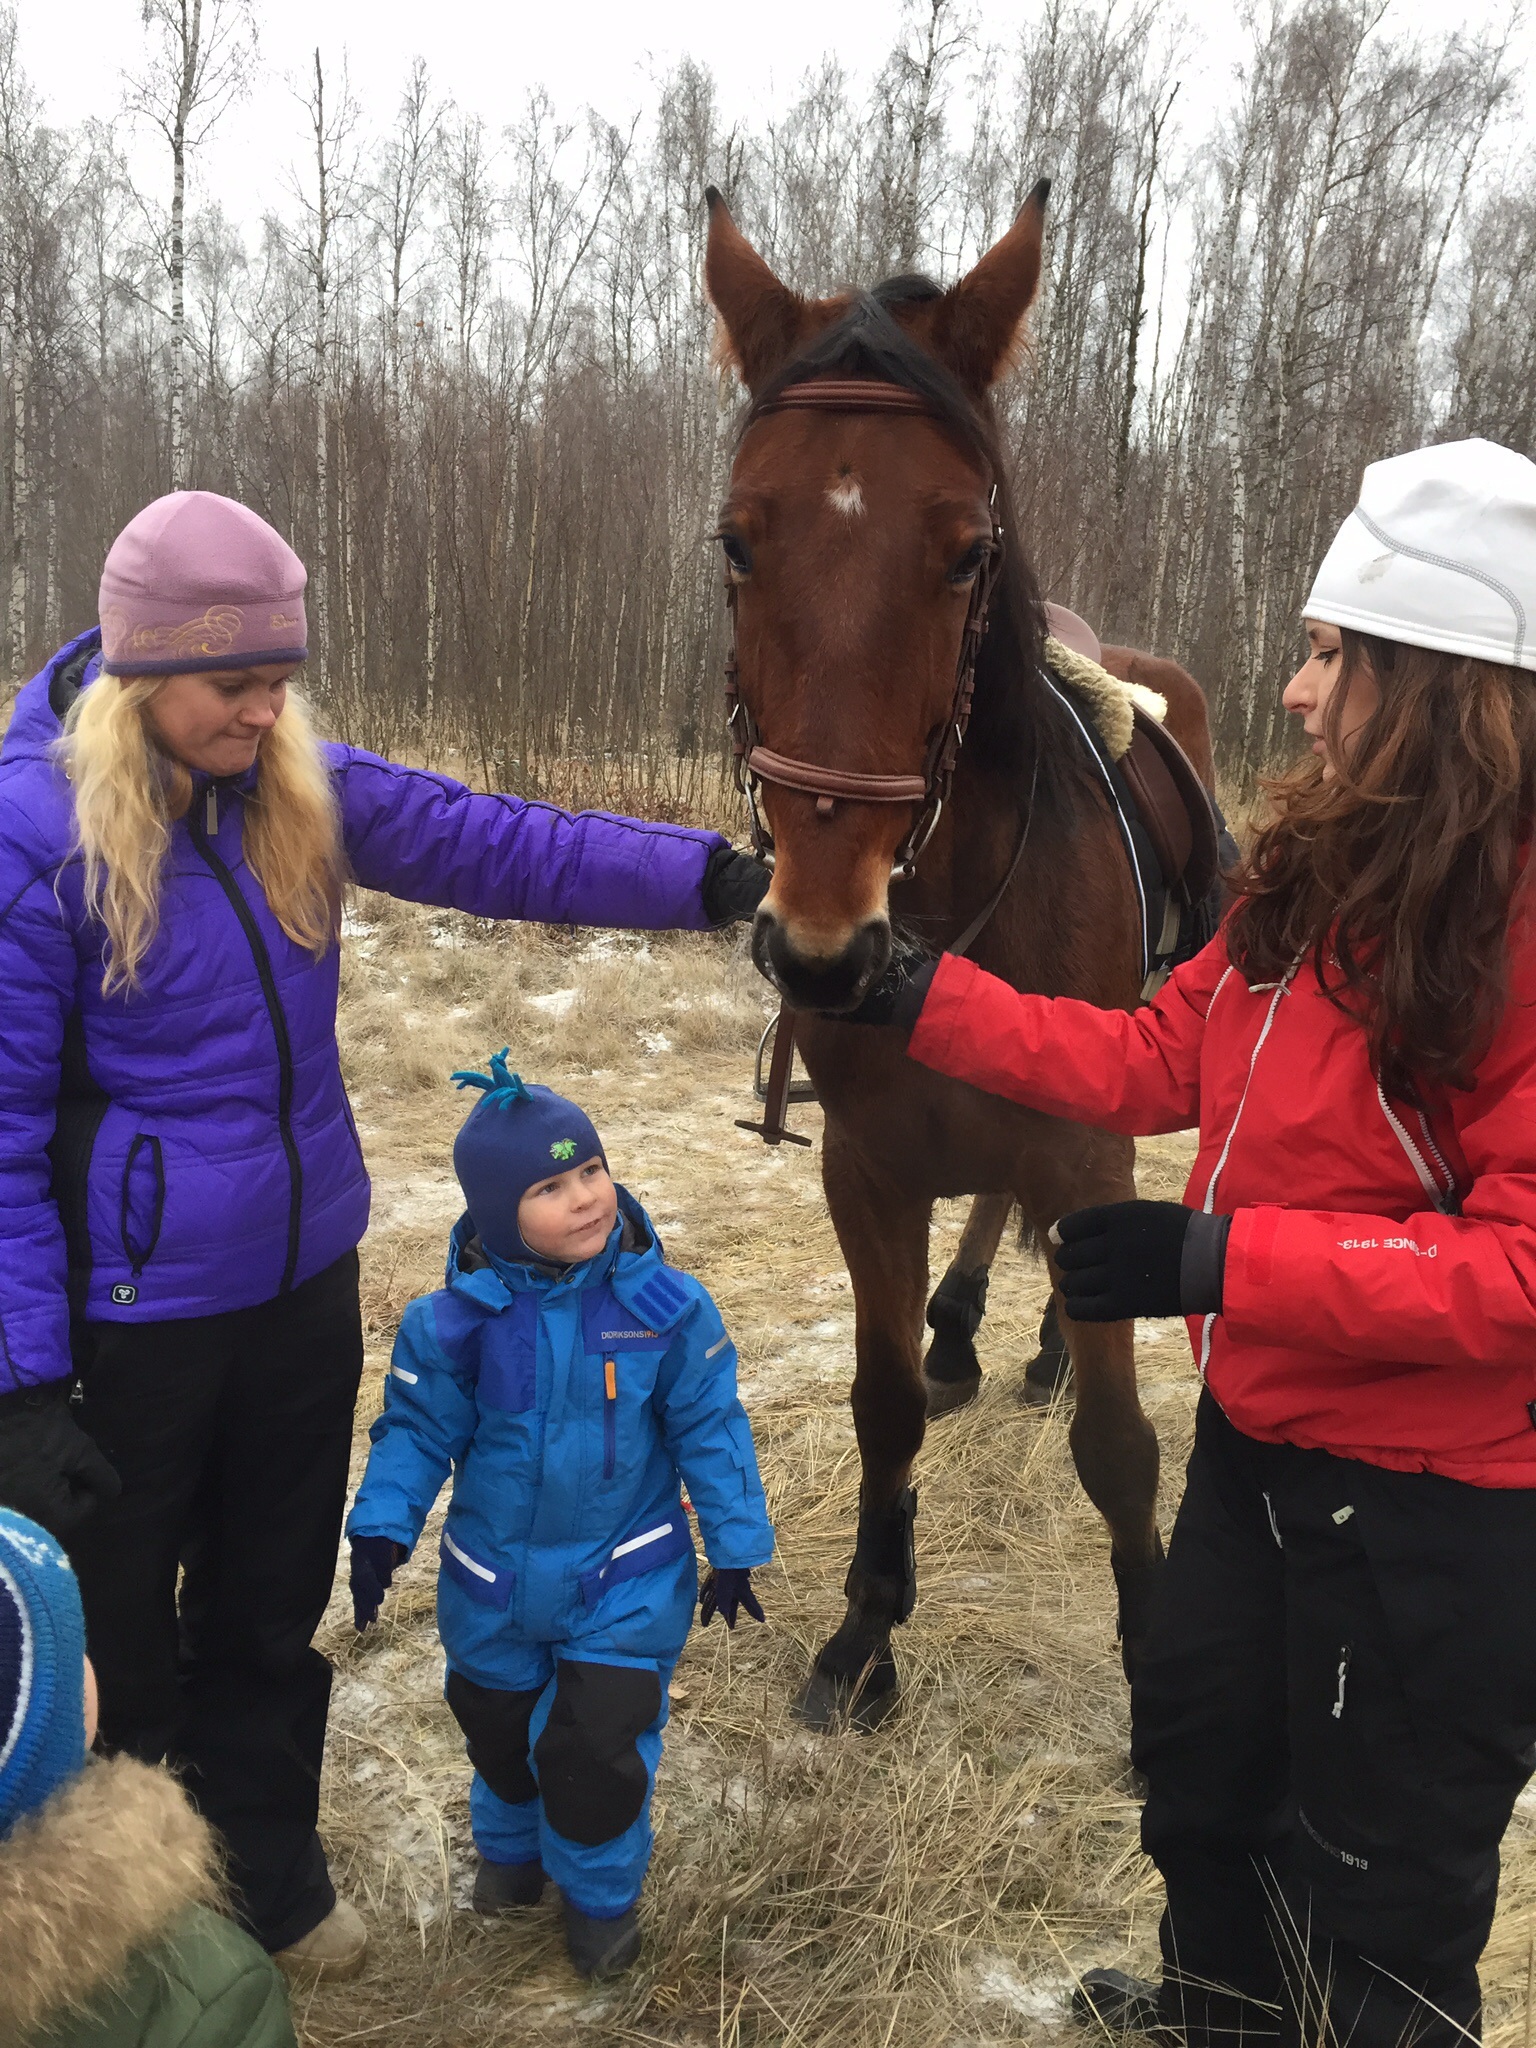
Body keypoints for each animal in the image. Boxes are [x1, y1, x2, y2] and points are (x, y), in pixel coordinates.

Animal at [703, 182, 1217, 1730]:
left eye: (965, 553)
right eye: (739, 542)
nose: (822, 949)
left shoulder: (1085, 1144)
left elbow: (1119, 1444)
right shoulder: (865, 1166)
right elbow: (881, 1405)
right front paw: (867, 1629)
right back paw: (971, 1321)